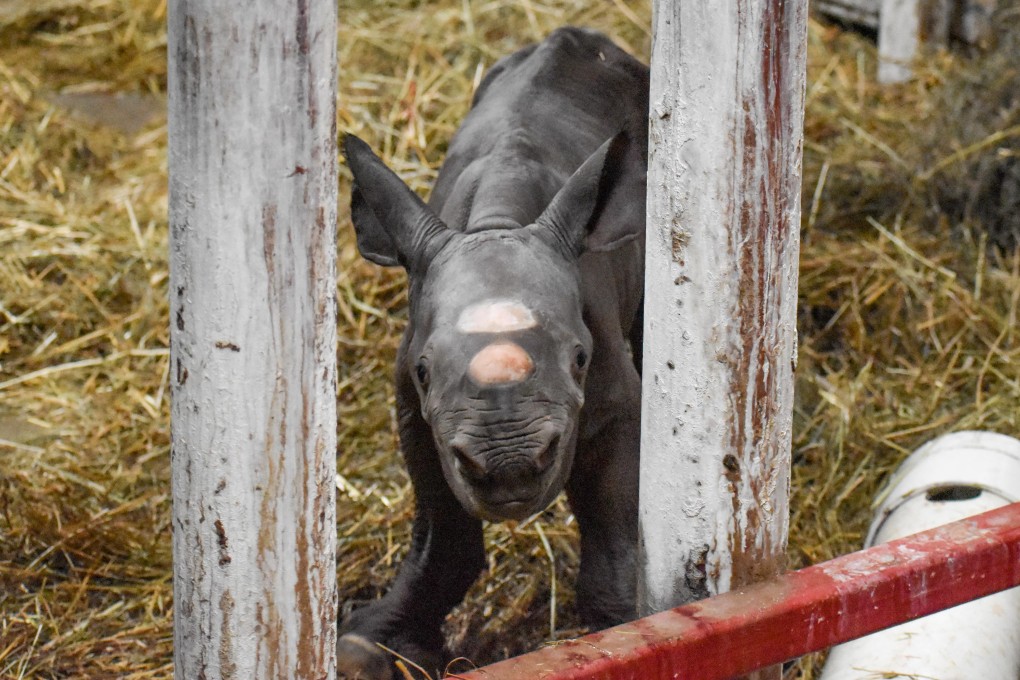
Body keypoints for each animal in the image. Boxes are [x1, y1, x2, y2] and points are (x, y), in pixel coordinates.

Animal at [338, 26, 648, 680]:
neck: (497, 221)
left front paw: (629, 633)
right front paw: (372, 647)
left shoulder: (613, 399)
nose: (509, 465)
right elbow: (444, 531)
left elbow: (614, 537)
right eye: (424, 372)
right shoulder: (416, 409)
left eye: (579, 359)